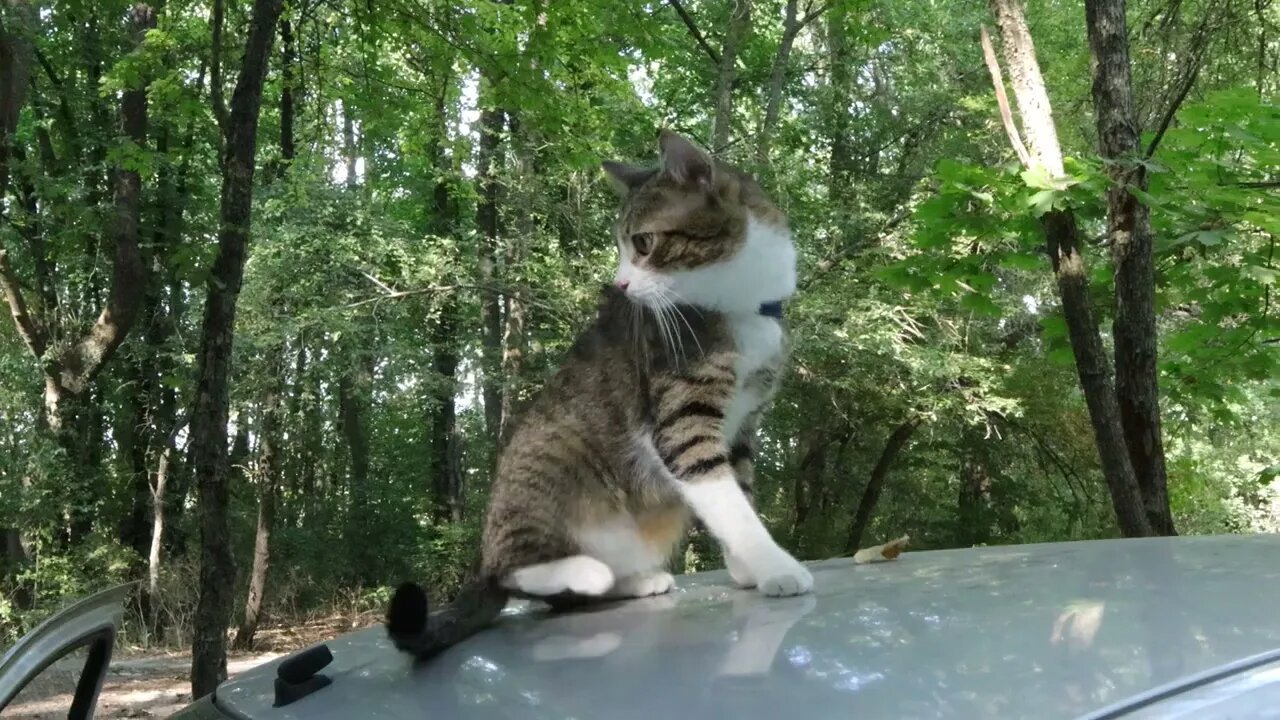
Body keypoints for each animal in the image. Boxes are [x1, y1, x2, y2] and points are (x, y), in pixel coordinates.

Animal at [384, 127, 814, 655]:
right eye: (622, 247)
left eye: (643, 243)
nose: (620, 284)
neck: (742, 305)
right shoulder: (683, 416)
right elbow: (728, 501)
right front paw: (776, 566)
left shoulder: (745, 423)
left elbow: (742, 489)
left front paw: (748, 567)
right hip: (552, 455)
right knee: (514, 574)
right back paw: (584, 571)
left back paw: (632, 581)